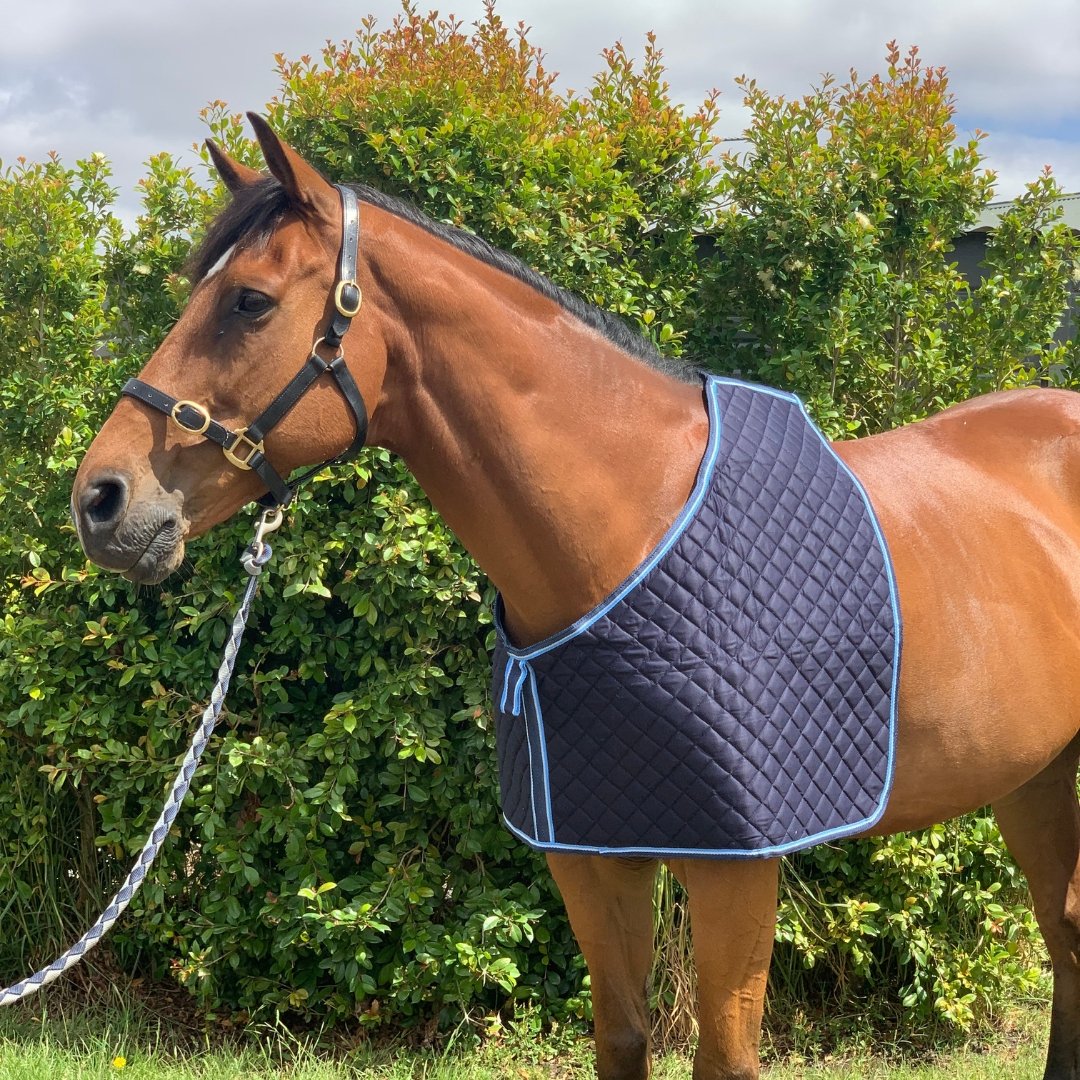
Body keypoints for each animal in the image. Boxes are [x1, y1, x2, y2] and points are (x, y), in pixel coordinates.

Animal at [70, 115, 1080, 1080]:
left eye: (250, 302)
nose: (99, 501)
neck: (631, 526)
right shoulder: (591, 859)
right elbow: (623, 1040)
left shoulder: (738, 869)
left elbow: (724, 1058)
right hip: (1033, 777)